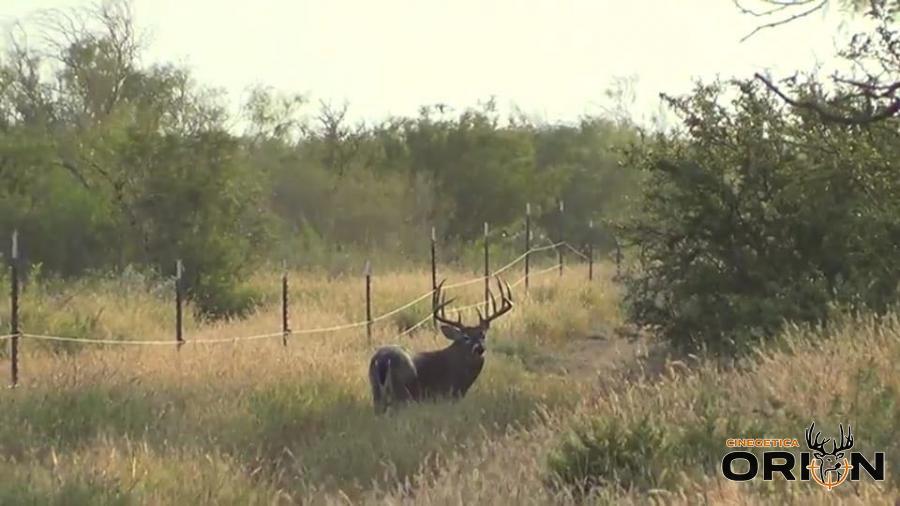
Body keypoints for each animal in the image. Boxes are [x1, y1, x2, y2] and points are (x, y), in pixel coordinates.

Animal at [368, 276, 512, 416]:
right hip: (402, 392)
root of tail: (383, 359)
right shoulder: (446, 395)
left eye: (483, 335)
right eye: (465, 337)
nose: (479, 348)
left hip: (376, 391)